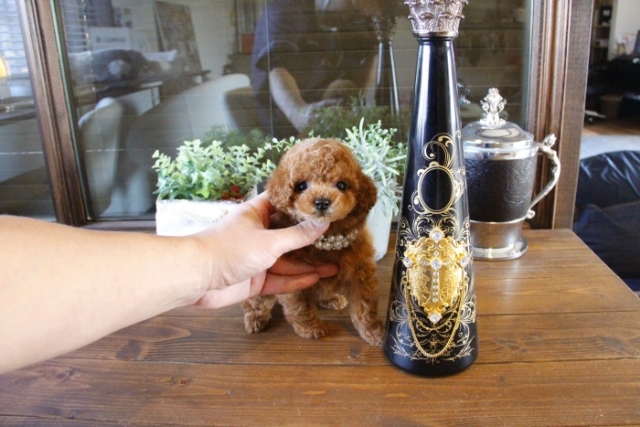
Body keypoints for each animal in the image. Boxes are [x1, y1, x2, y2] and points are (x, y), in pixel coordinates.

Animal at [242, 138, 384, 346]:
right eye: (301, 186)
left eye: (341, 185)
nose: (322, 202)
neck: (328, 238)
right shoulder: (293, 280)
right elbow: (300, 308)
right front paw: (310, 328)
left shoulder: (361, 271)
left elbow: (365, 305)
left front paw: (374, 331)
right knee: (255, 300)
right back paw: (254, 319)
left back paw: (332, 299)